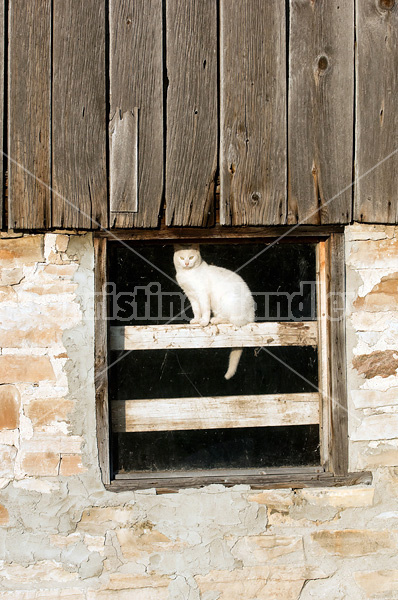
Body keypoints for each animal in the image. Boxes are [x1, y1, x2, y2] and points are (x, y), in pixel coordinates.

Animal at [173, 245, 255, 380]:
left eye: (191, 257)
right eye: (182, 258)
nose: (187, 263)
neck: (187, 274)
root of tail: (252, 316)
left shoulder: (202, 294)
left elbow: (204, 309)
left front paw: (204, 321)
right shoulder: (191, 296)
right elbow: (196, 309)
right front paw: (196, 320)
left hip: (227, 301)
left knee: (232, 320)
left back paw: (215, 319)